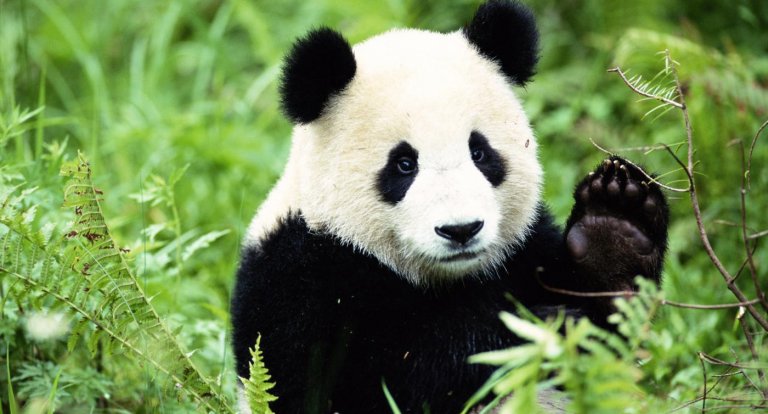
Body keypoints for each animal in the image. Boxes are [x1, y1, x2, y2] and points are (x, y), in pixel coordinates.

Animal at [231, 0, 669, 412]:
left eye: (480, 152)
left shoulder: (525, 249)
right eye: (404, 164)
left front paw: (613, 230)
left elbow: (609, 344)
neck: (442, 279)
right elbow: (371, 382)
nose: (461, 229)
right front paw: (535, 332)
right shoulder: (298, 279)